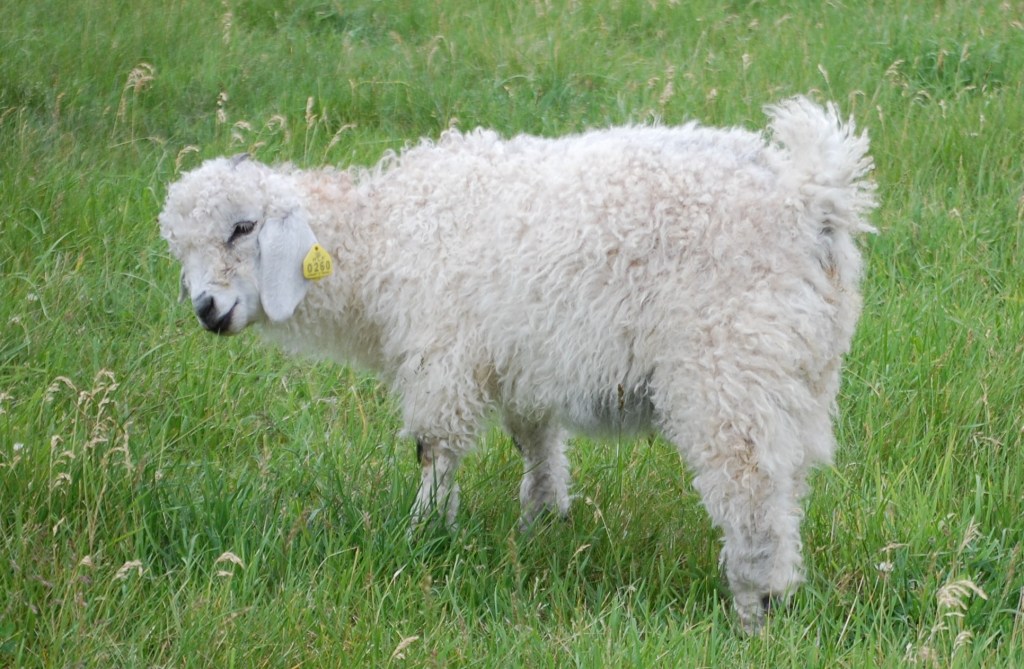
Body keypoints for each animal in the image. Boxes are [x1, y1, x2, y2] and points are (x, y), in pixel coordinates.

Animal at [158, 96, 876, 632]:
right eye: (180, 248)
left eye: (243, 227)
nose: (207, 309)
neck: (384, 235)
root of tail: (808, 198)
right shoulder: (523, 362)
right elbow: (536, 441)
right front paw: (543, 521)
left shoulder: (444, 356)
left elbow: (436, 449)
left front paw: (425, 534)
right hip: (794, 369)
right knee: (784, 485)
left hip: (729, 362)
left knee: (749, 488)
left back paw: (753, 612)